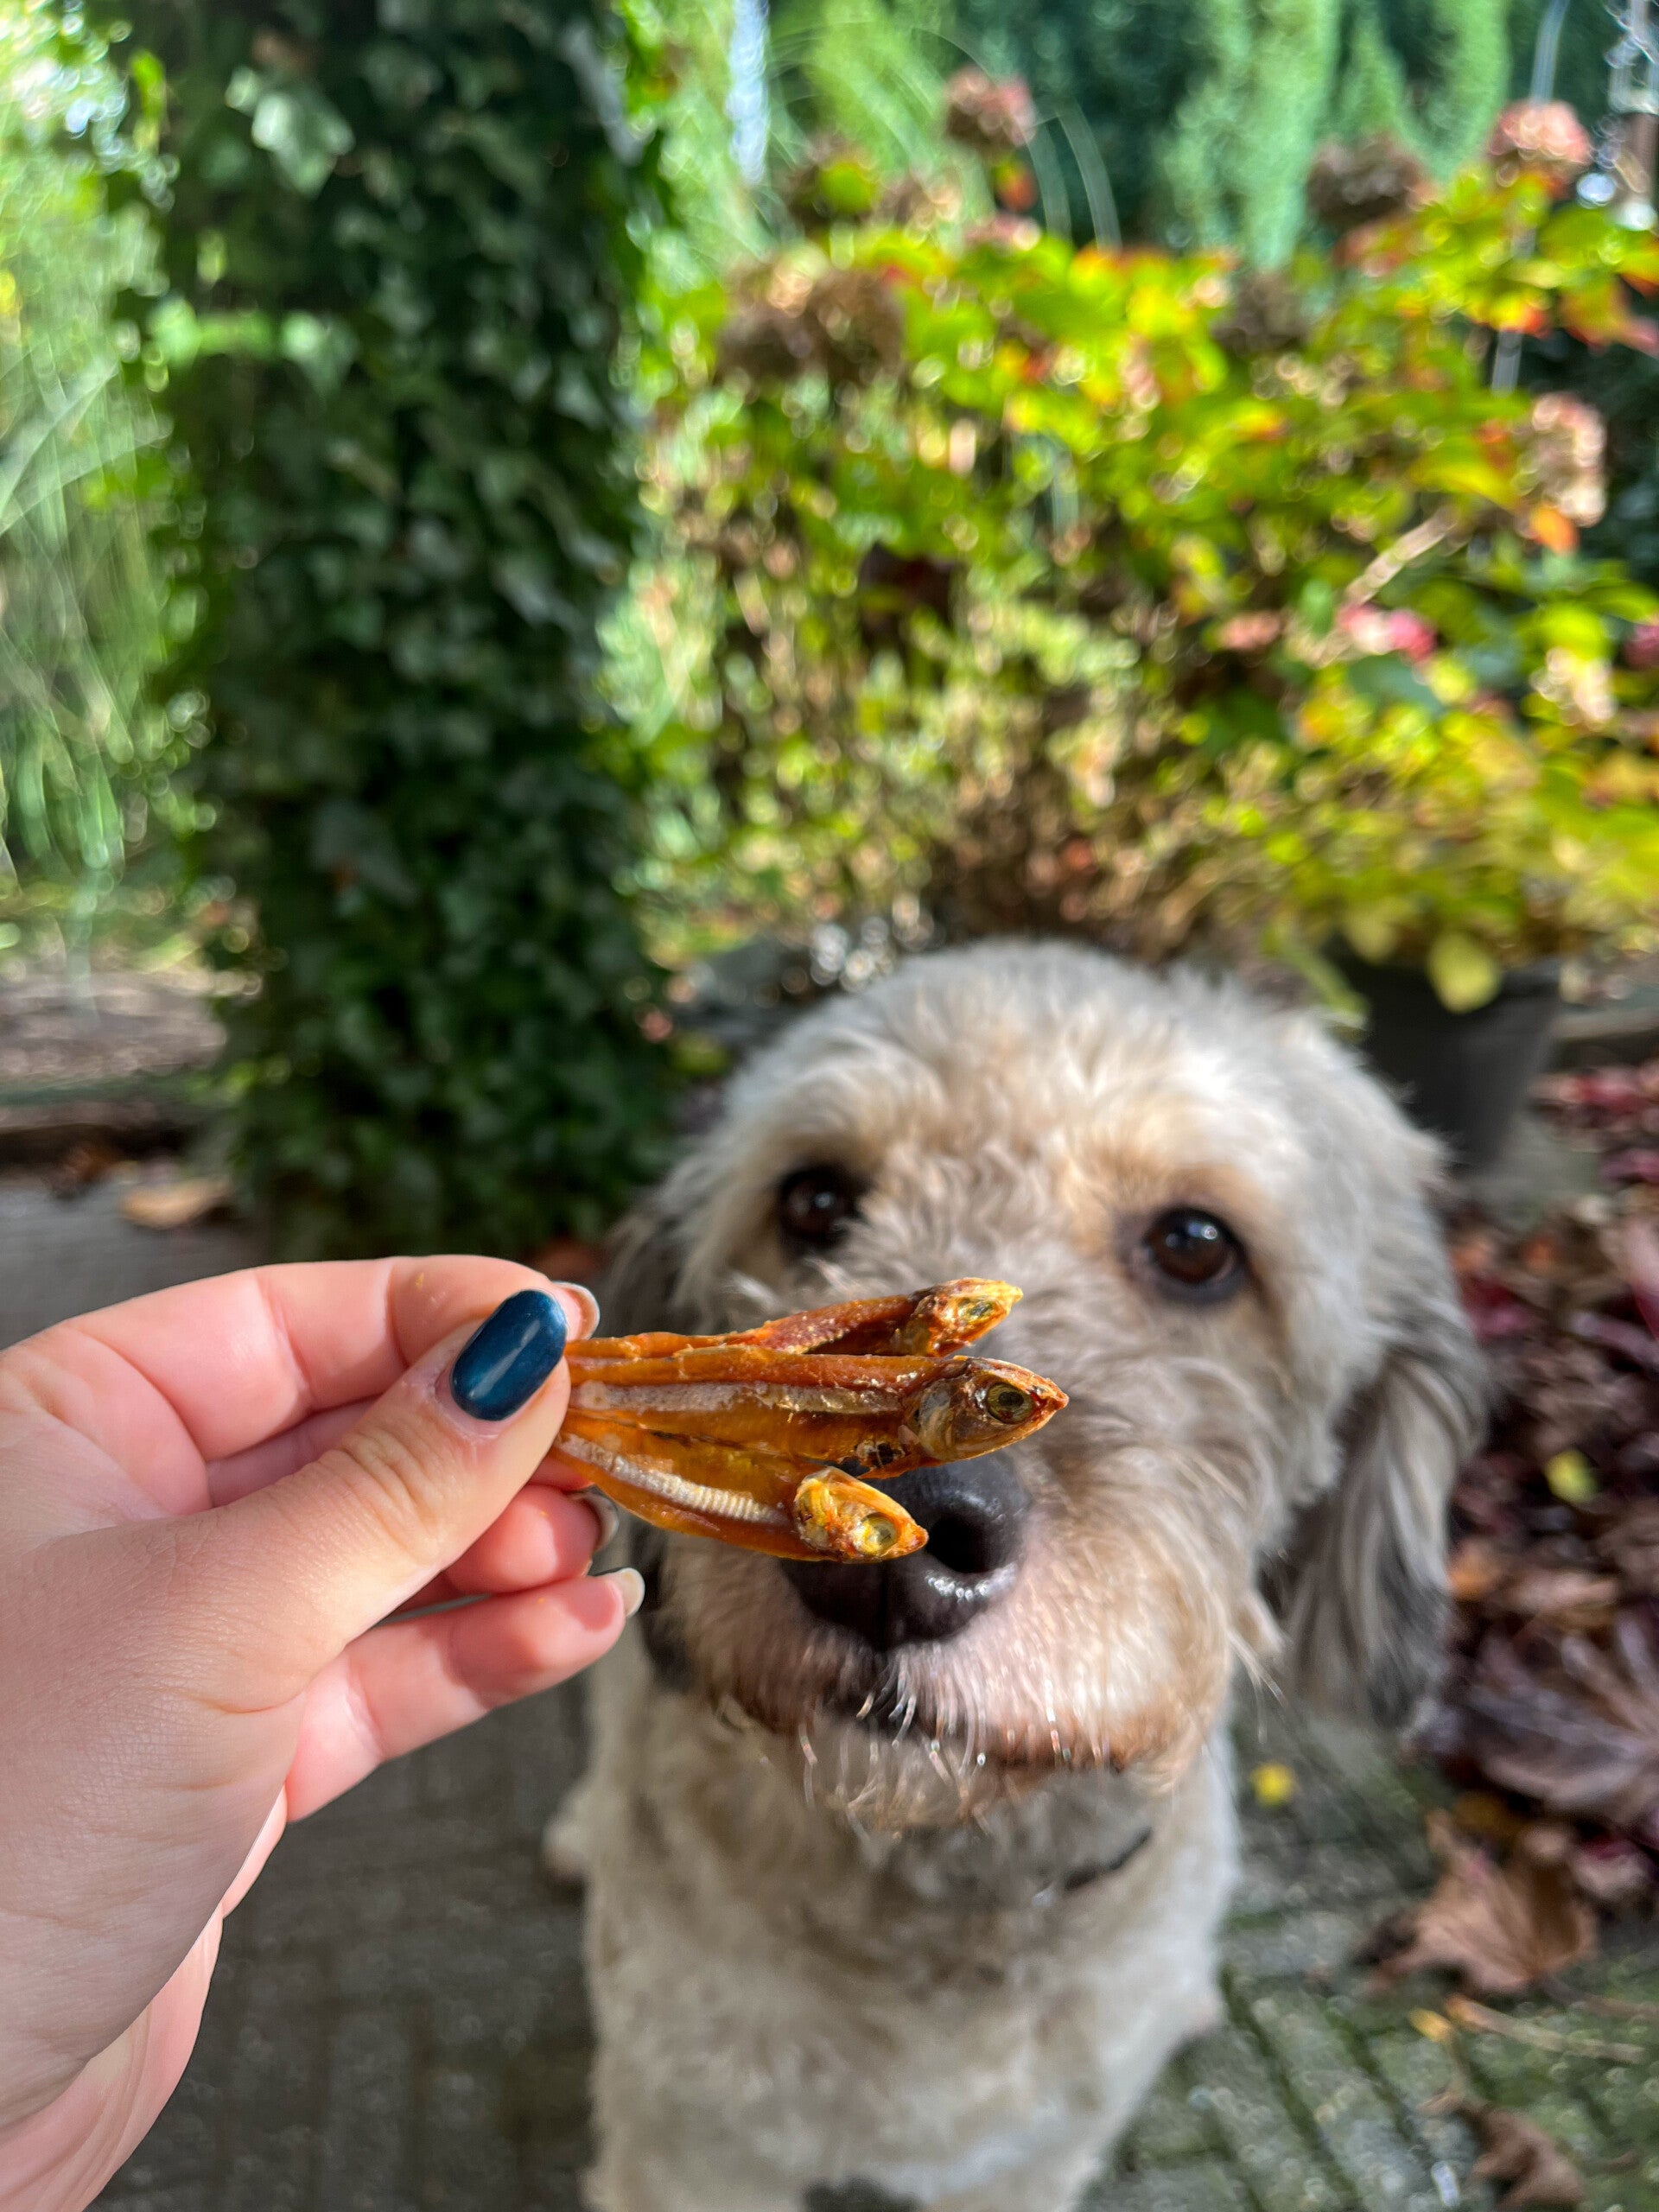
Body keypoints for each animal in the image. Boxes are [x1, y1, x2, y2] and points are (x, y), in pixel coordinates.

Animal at [550, 940, 1485, 2212]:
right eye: (815, 1200)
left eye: (1199, 1244)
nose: (903, 1563)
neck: (936, 1889)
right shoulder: (686, 2140)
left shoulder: (1033, 2157)